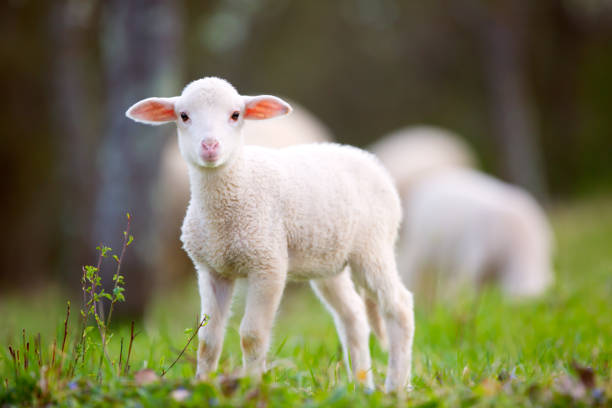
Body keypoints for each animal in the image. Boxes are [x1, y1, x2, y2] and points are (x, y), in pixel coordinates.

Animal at [126, 77, 414, 392]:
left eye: (235, 115)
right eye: (184, 116)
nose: (210, 146)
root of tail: (369, 159)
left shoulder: (268, 264)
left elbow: (251, 336)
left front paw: (251, 387)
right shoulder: (211, 269)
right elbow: (208, 340)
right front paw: (203, 385)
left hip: (373, 246)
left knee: (399, 307)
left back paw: (396, 387)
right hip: (328, 262)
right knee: (353, 316)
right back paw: (362, 387)